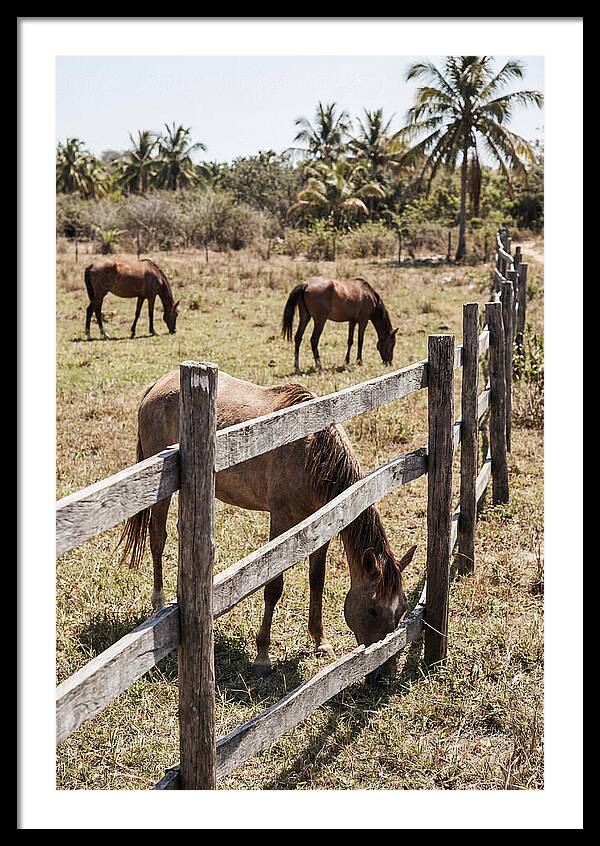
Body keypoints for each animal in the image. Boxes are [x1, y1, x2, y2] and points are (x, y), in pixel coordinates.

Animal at [118, 370, 416, 680]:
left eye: (402, 610)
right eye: (372, 610)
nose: (384, 674)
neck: (312, 452)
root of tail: (158, 385)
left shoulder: (322, 522)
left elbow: (317, 580)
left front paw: (320, 641)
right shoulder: (281, 519)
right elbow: (273, 586)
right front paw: (262, 656)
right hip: (160, 490)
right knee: (157, 538)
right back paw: (159, 603)